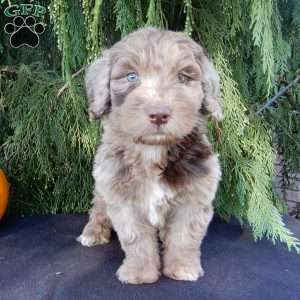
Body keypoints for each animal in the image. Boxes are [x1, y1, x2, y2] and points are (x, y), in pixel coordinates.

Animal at [77, 27, 223, 284]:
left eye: (183, 77)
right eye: (131, 77)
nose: (159, 114)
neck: (152, 150)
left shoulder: (193, 197)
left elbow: (185, 236)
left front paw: (183, 268)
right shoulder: (122, 198)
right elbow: (136, 239)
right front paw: (139, 272)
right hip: (103, 187)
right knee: (98, 208)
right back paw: (92, 232)